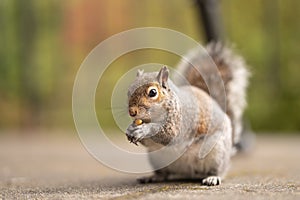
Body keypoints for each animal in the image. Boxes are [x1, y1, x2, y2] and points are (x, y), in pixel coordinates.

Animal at [125, 42, 250, 186]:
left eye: (153, 92)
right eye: (128, 91)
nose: (132, 112)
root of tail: (187, 171)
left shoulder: (185, 121)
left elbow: (170, 135)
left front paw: (144, 130)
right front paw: (130, 130)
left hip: (217, 152)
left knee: (219, 170)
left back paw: (212, 177)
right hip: (156, 158)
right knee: (164, 174)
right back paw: (153, 177)